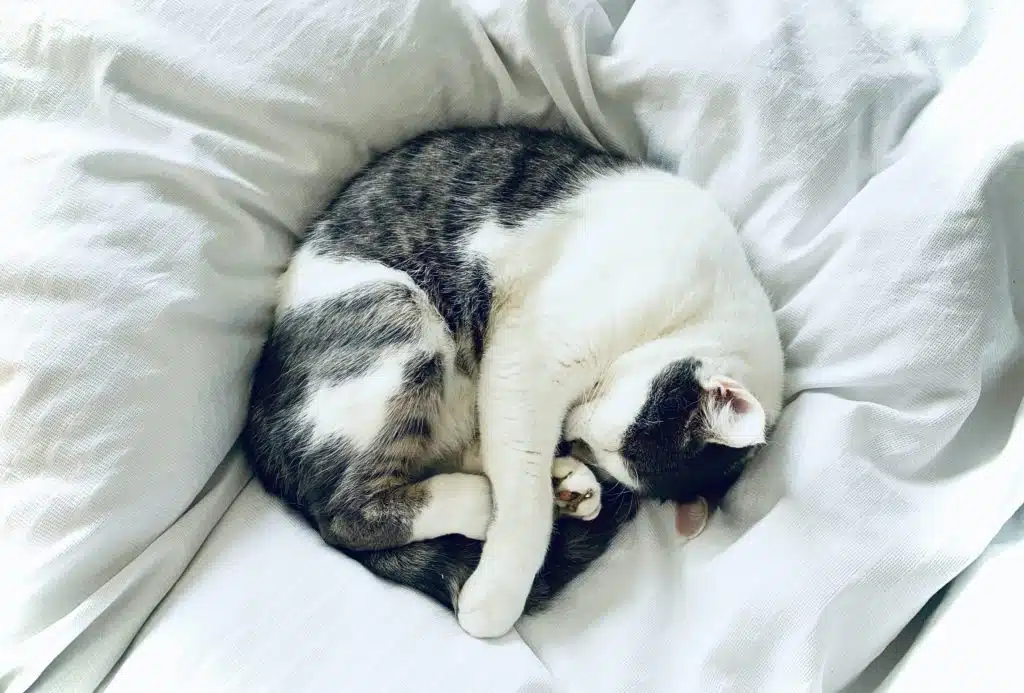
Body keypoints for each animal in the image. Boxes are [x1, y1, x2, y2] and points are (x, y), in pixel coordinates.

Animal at [243, 125, 786, 638]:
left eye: (605, 451)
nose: (574, 439)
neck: (699, 310)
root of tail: (258, 427)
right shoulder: (532, 354)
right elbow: (523, 489)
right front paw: (496, 597)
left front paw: (563, 476)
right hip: (399, 322)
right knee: (345, 514)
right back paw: (484, 502)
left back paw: (565, 487)